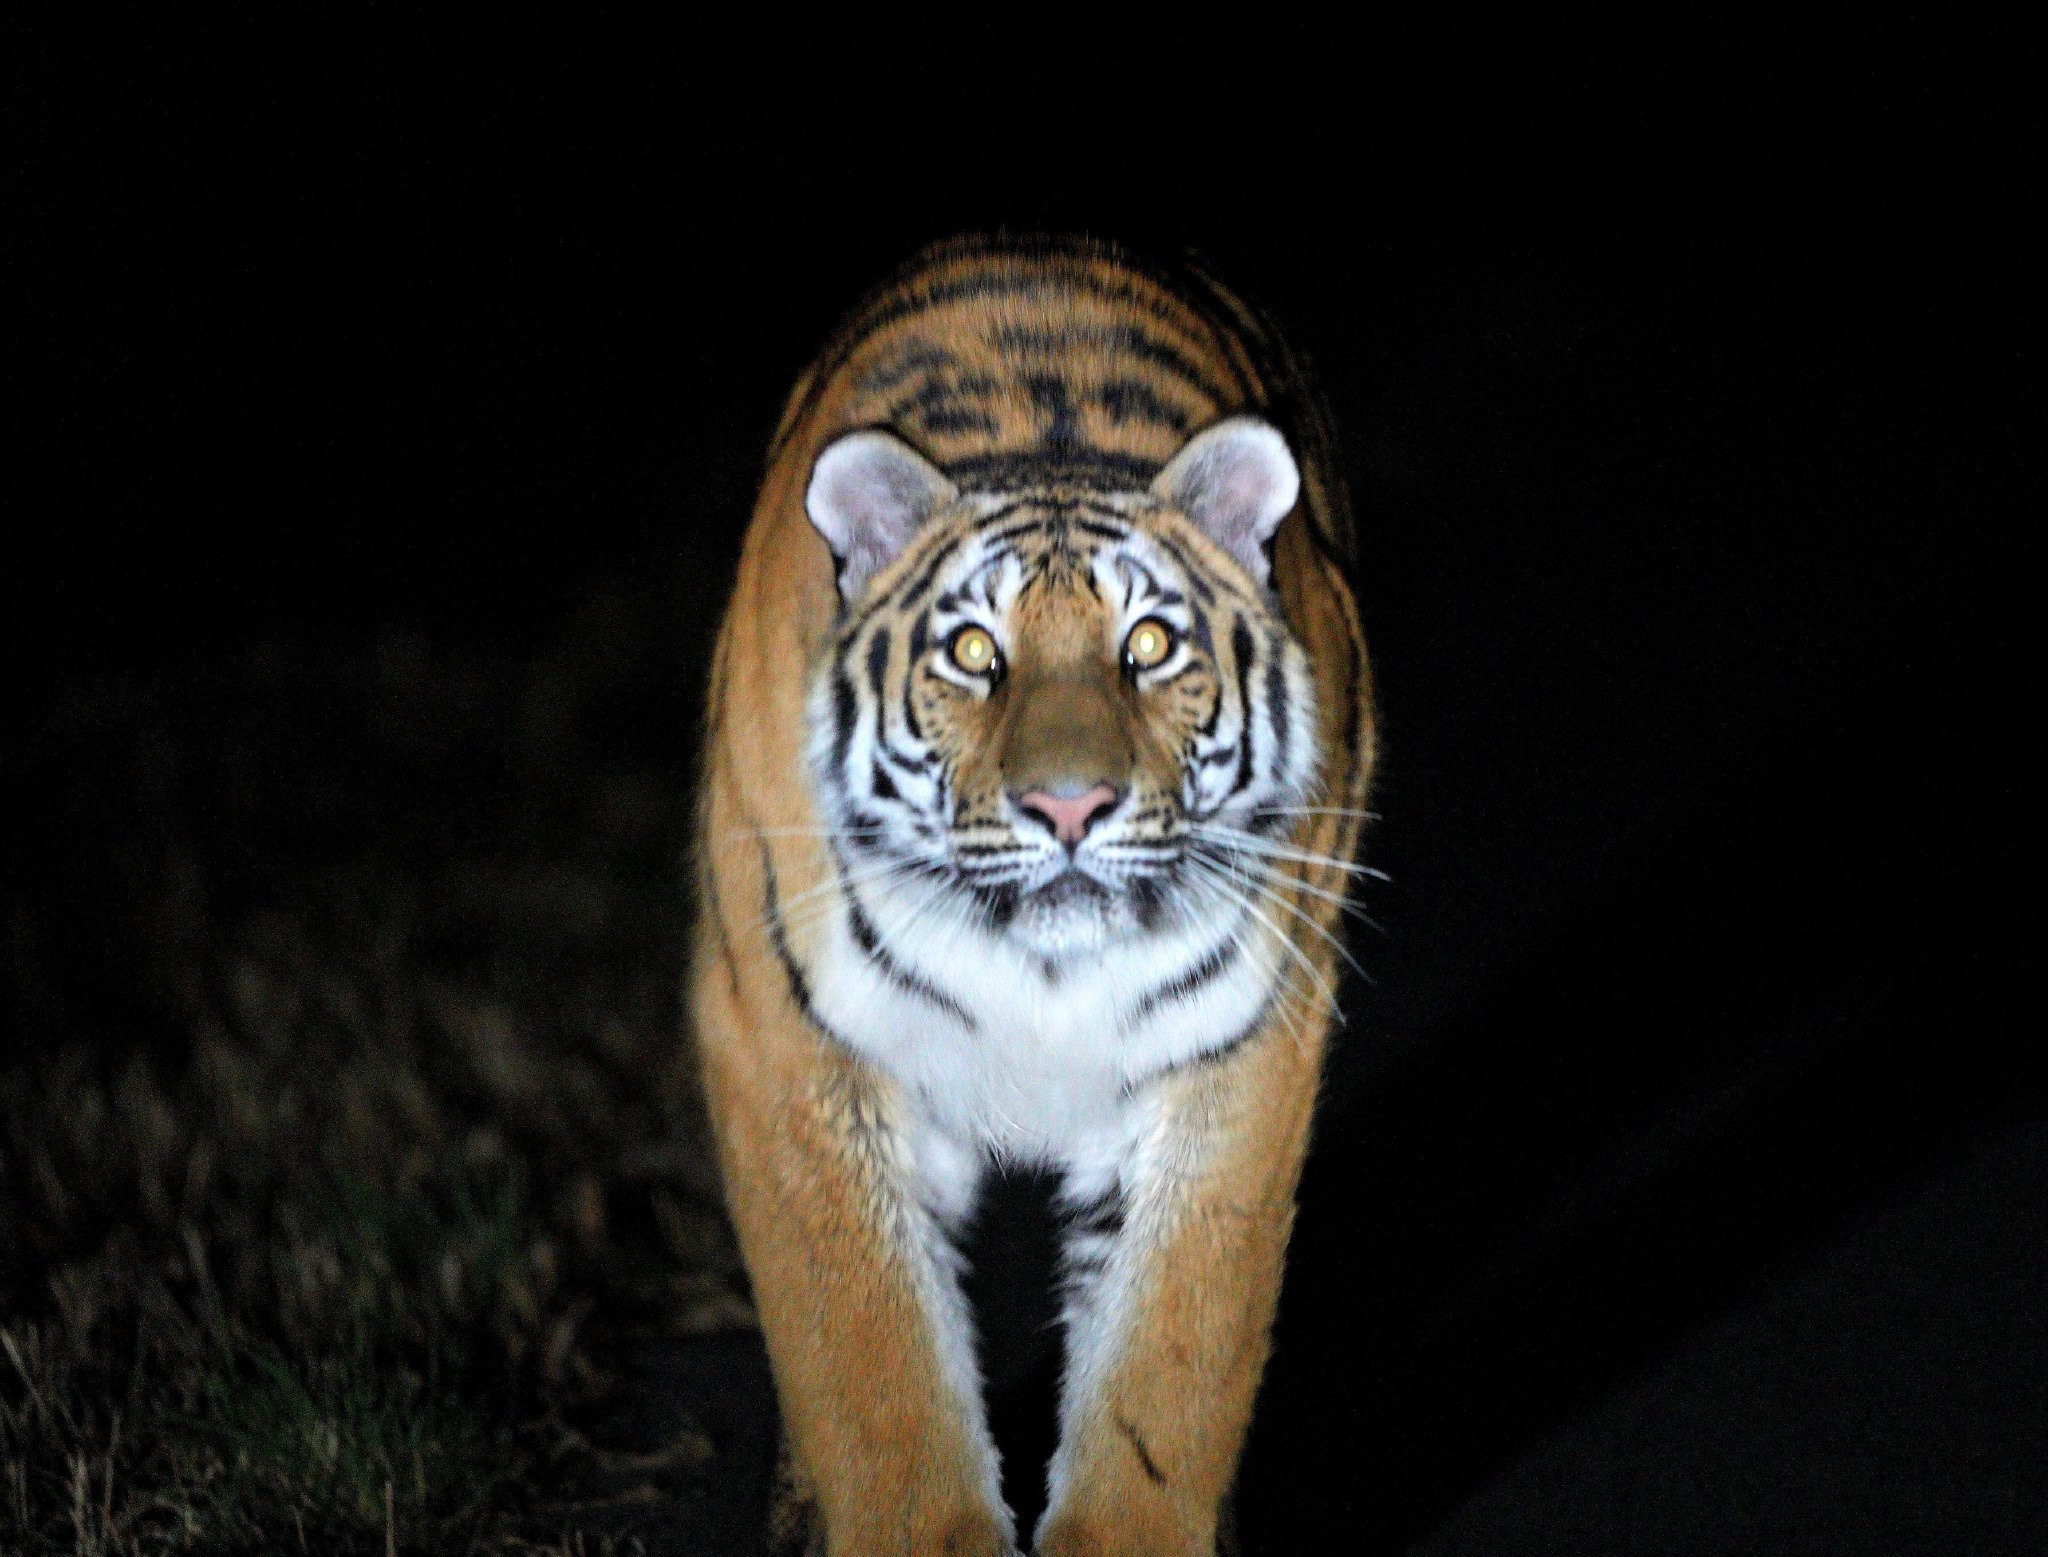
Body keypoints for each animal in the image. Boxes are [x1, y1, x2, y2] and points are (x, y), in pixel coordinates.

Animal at [690, 233, 1375, 1556]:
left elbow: (1167, 1369)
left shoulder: (1235, 1050)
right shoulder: (788, 1043)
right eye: (972, 654)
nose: (1067, 808)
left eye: (1149, 646)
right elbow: (869, 1374)